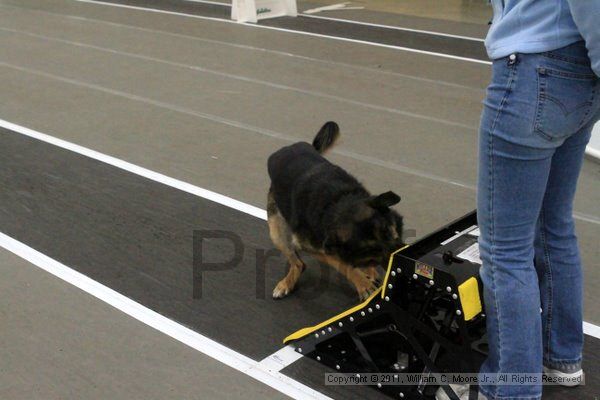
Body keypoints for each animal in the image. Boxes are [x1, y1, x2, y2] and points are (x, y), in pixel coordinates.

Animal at [266, 122, 404, 300]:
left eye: (387, 231)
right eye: (371, 249)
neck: (338, 203)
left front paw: (370, 274)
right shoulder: (316, 249)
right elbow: (344, 265)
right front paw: (363, 284)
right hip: (277, 234)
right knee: (298, 264)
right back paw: (286, 284)